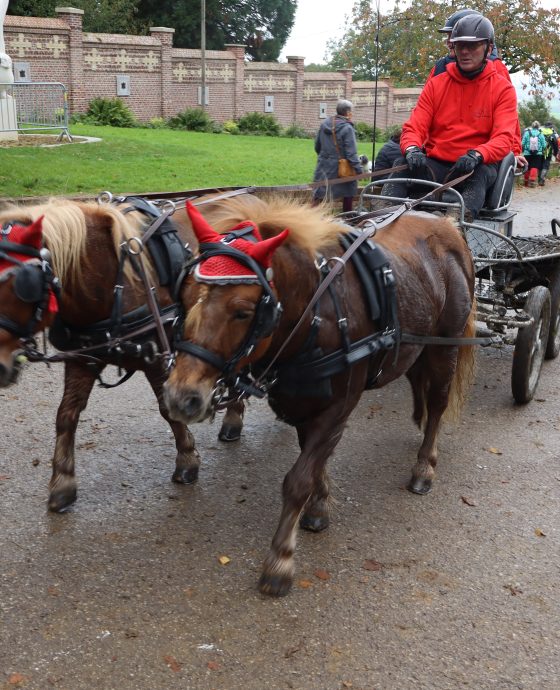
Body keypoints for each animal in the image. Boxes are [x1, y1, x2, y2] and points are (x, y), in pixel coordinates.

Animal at [0, 196, 245, 508]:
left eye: (23, 285)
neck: (110, 284)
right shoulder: (82, 358)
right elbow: (66, 415)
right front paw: (63, 481)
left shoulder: (156, 360)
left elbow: (167, 409)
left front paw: (187, 459)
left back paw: (234, 418)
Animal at [164, 195, 474, 596]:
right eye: (185, 297)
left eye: (243, 311)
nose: (180, 396)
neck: (315, 314)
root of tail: (446, 224)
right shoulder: (302, 401)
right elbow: (313, 461)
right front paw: (320, 504)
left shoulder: (337, 407)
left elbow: (298, 479)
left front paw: (280, 559)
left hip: (445, 345)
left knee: (437, 403)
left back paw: (425, 463)